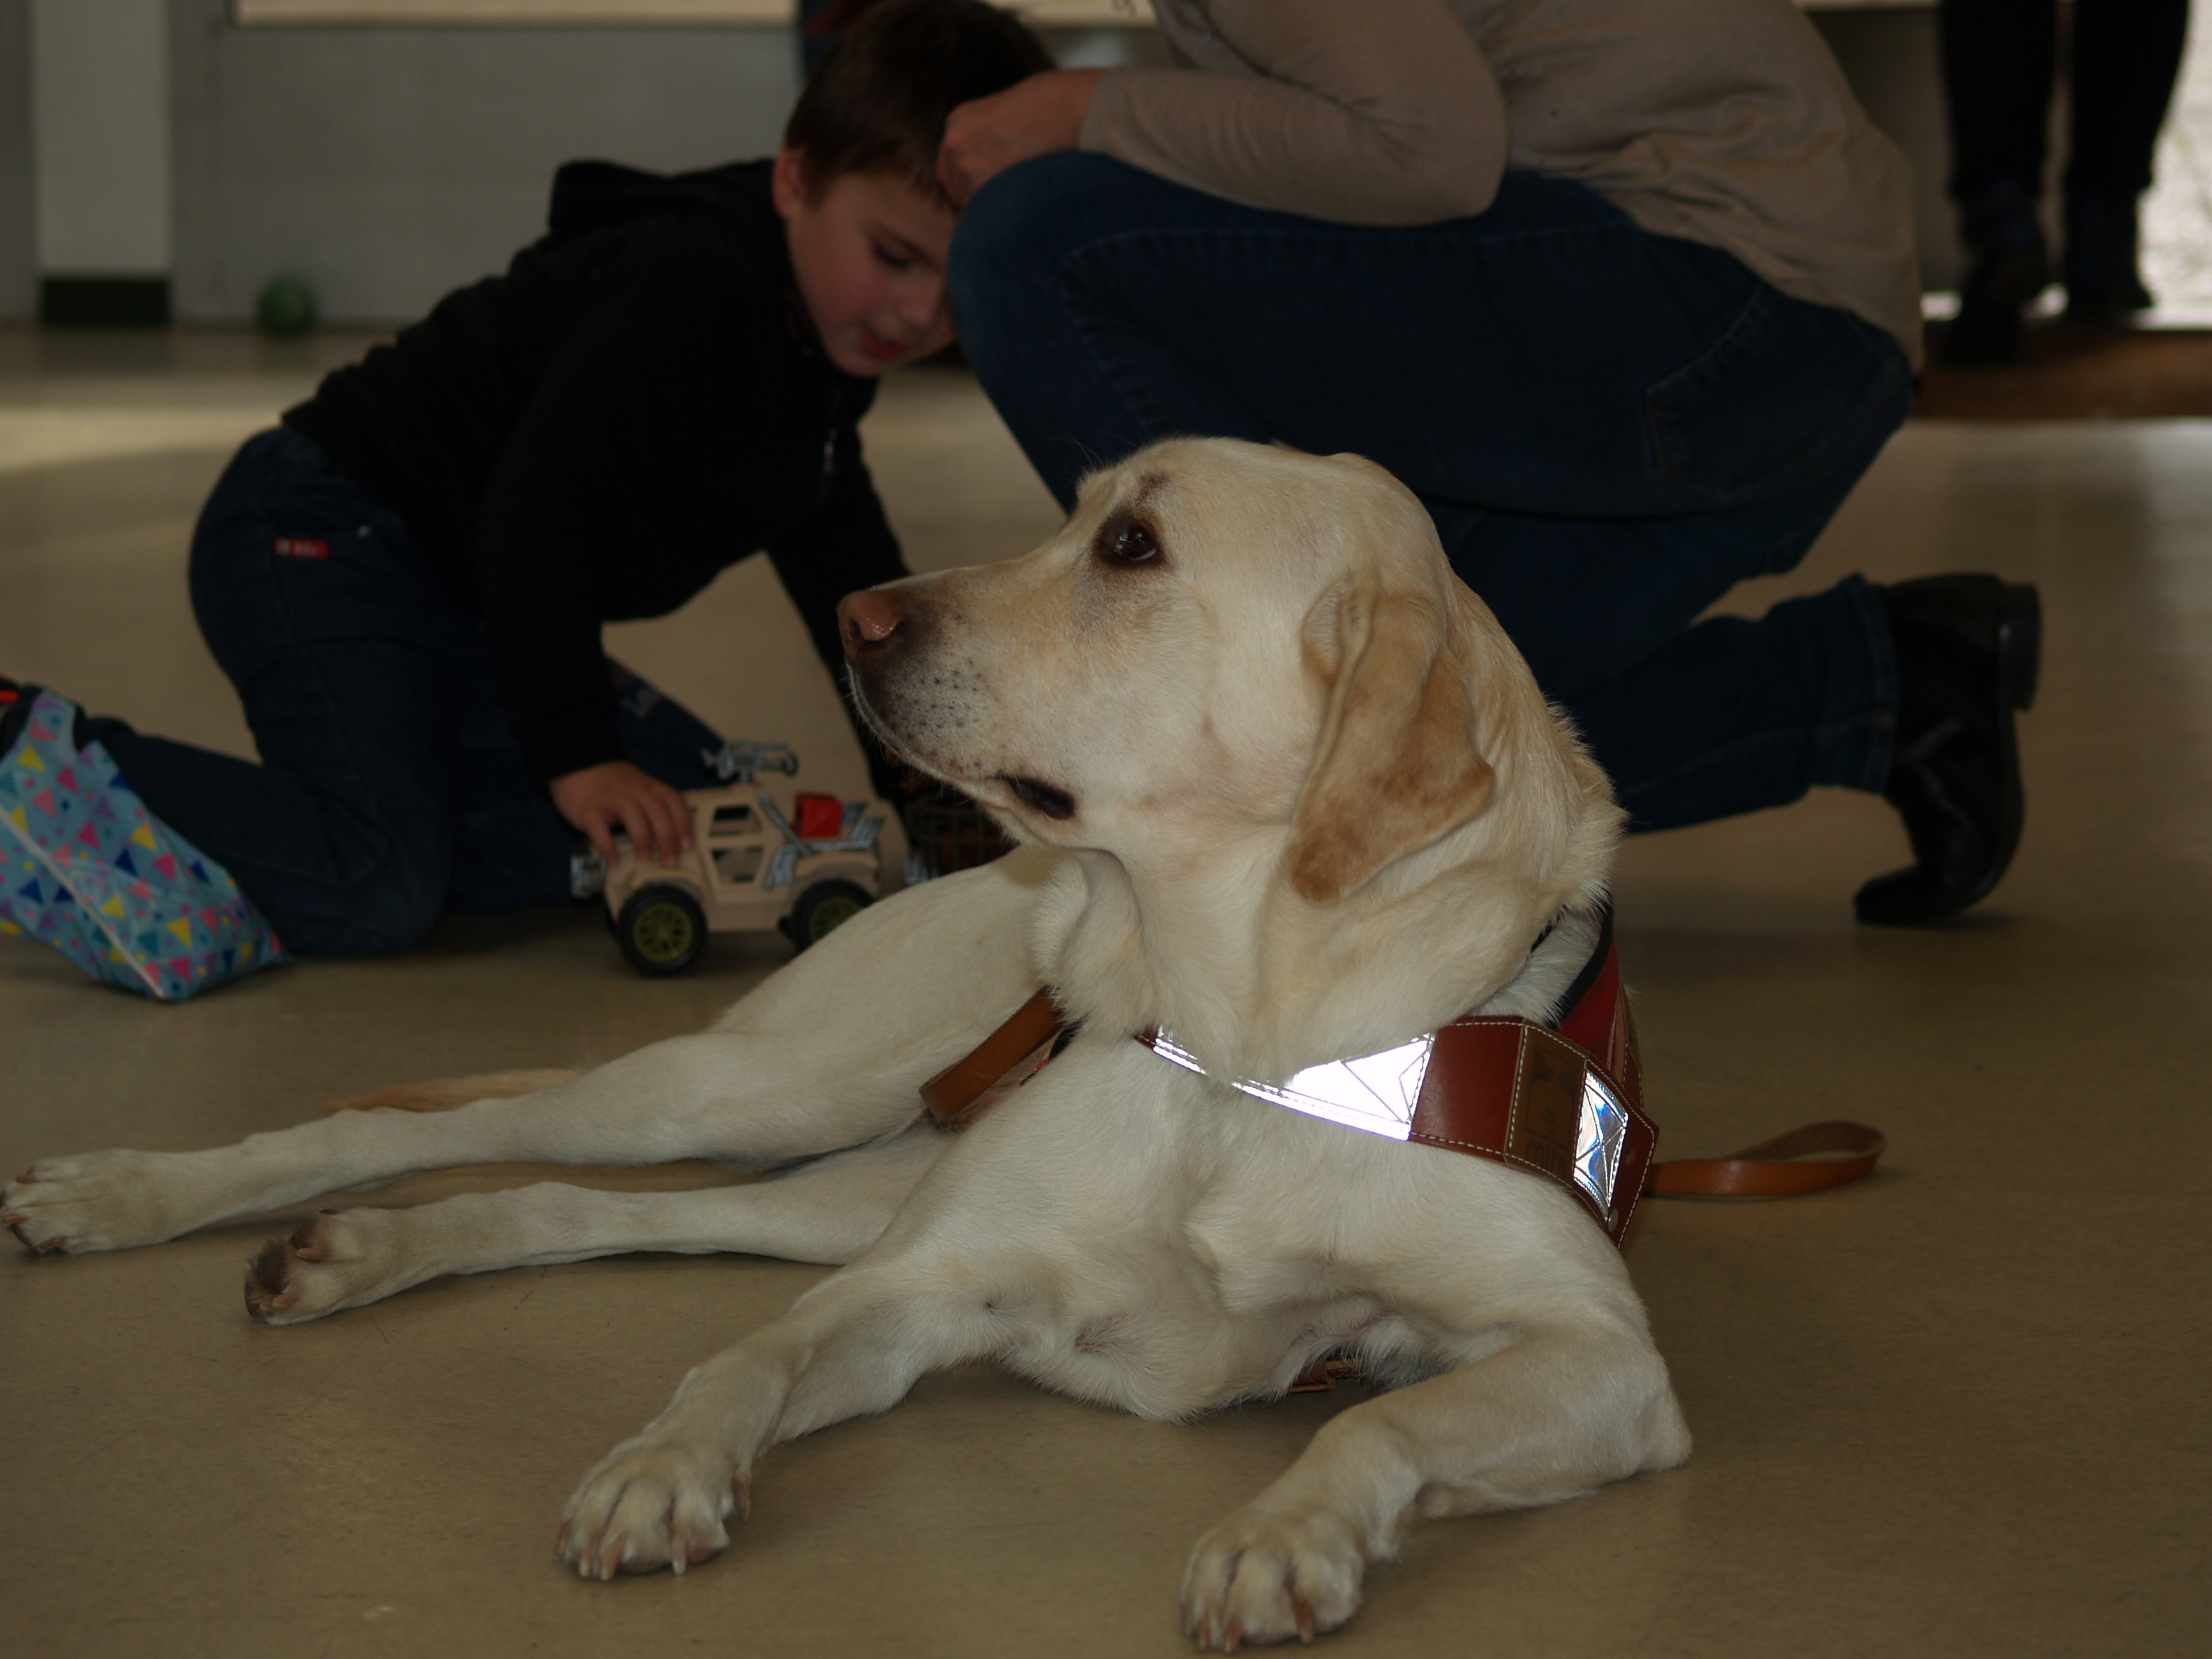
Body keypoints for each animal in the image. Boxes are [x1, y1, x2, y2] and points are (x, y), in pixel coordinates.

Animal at [3, 438, 1689, 1649]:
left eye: (1132, 547)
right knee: (435, 1135)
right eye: (1081, 515)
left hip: (838, 1172)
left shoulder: (1597, 1353)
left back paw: (352, 1252)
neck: (1235, 1043)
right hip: (760, 1094)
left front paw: (1282, 1532)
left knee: (580, 1206)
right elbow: (736, 1360)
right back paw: (130, 1193)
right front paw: (663, 1466)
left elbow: (1383, 1415)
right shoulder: (914, 1280)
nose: (854, 614)